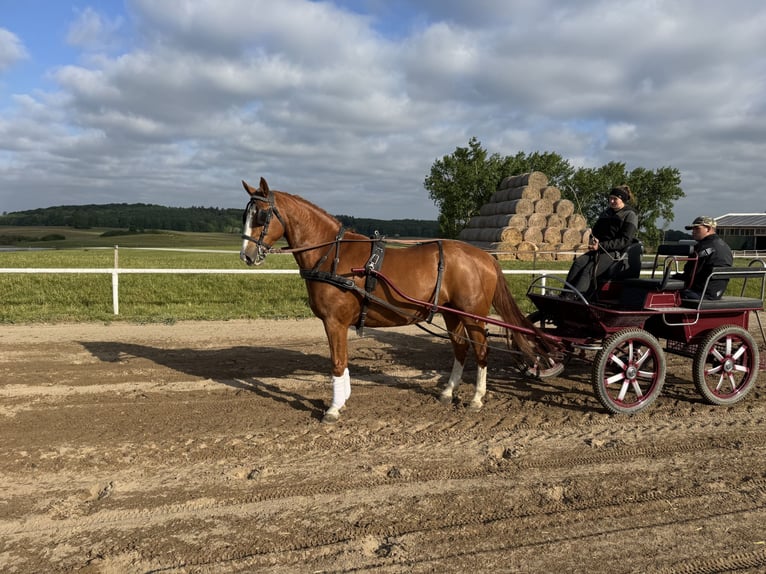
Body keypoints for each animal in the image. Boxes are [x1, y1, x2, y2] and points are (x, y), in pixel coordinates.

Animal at [239, 177, 554, 423]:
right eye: (246, 215)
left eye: (261, 215)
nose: (246, 256)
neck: (332, 255)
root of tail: (486, 257)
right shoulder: (338, 323)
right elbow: (343, 362)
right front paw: (343, 400)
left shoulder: (334, 321)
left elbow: (337, 362)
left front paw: (333, 408)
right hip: (451, 313)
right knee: (461, 349)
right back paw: (447, 392)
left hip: (473, 315)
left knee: (481, 351)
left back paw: (477, 398)